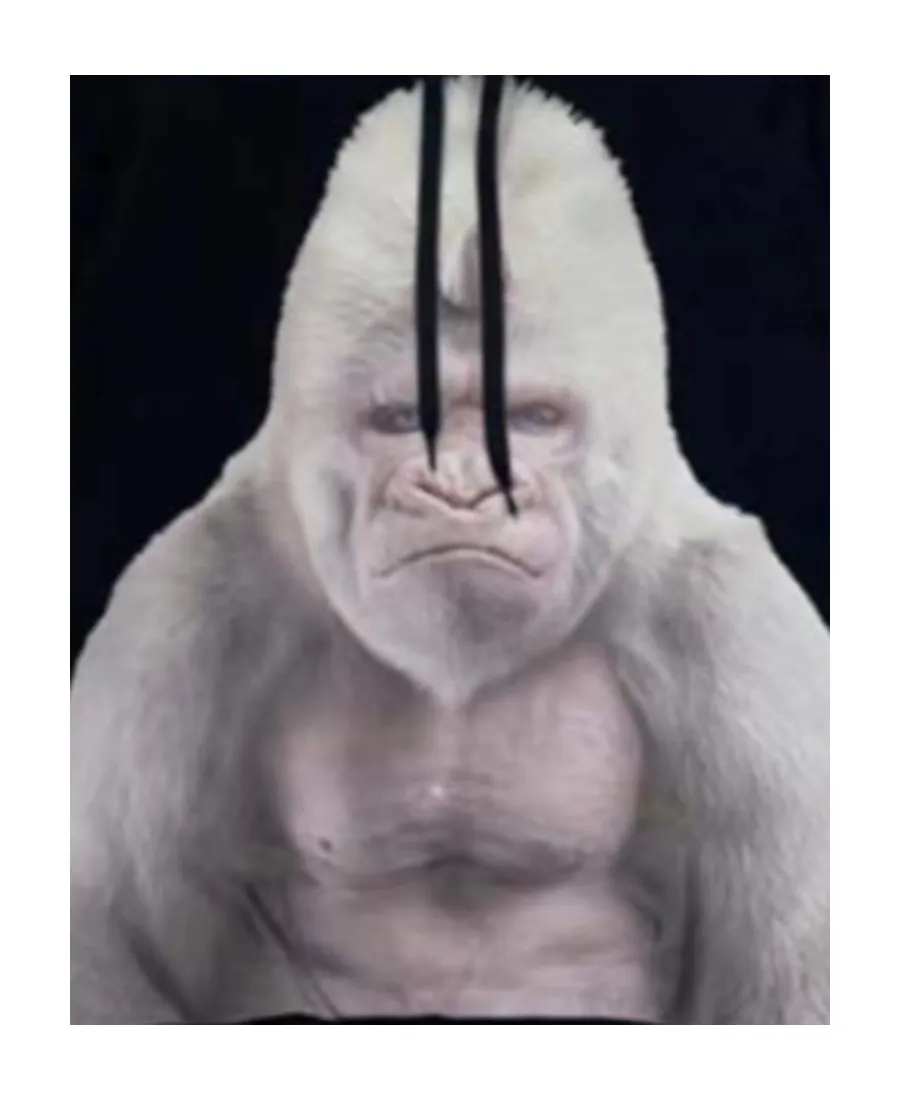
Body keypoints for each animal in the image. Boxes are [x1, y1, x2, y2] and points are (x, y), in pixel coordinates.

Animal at [70, 77, 829, 1024]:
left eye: (533, 419)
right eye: (403, 419)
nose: (464, 488)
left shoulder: (736, 627)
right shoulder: (180, 611)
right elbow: (109, 951)